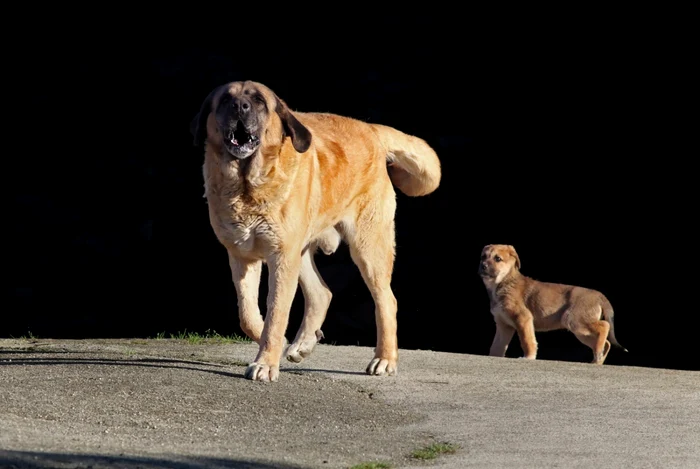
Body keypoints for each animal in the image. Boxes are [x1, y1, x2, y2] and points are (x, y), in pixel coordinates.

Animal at [190, 80, 442, 380]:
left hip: (368, 247)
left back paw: (384, 359)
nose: (240, 106)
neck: (247, 185)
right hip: (302, 251)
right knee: (322, 293)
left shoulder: (281, 257)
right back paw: (302, 345)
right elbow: (248, 316)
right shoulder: (242, 256)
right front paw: (276, 345)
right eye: (226, 99)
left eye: (258, 100)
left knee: (387, 301)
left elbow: (276, 314)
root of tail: (371, 129)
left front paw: (266, 363)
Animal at [478, 243, 628, 364]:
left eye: (498, 259)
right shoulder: (504, 325)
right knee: (606, 342)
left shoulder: (523, 318)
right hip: (581, 331)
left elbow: (527, 340)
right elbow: (496, 348)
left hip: (574, 320)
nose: (483, 266)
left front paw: (529, 357)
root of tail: (599, 295)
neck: (503, 282)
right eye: (483, 257)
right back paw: (597, 360)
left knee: (605, 326)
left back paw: (598, 353)